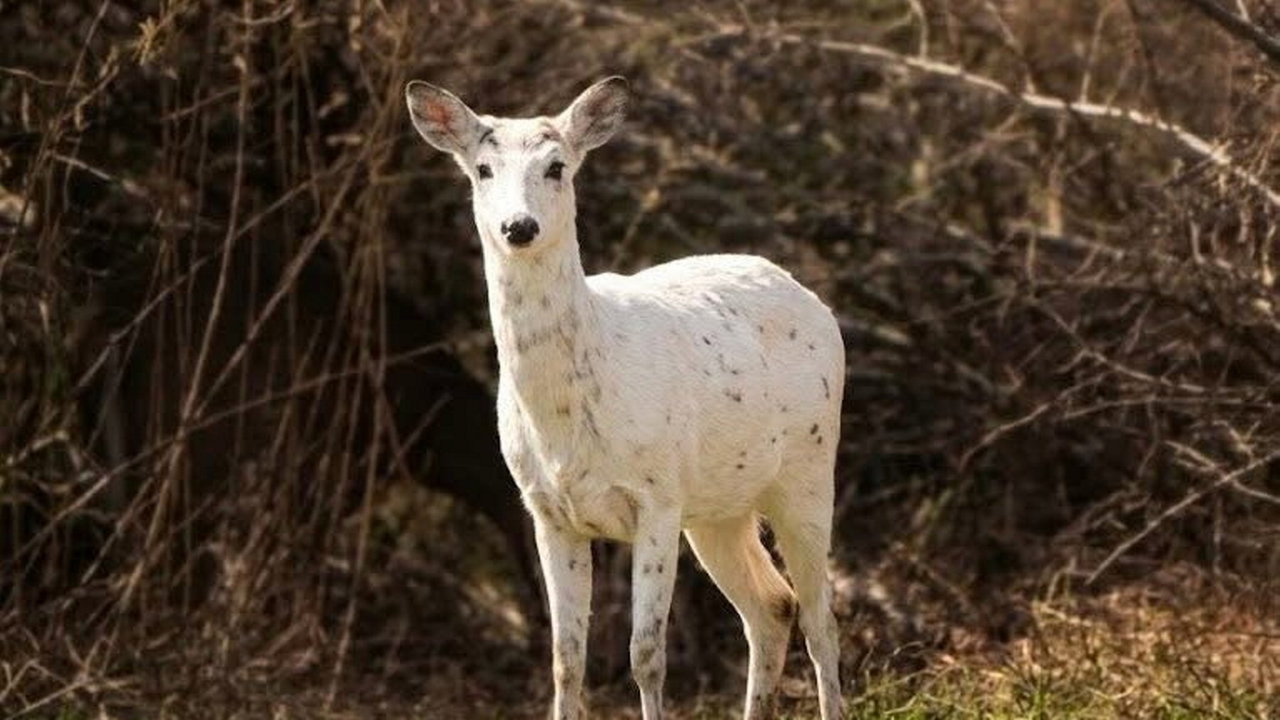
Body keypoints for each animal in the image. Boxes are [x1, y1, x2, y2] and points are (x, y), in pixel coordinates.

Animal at [405, 76, 844, 720]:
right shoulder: (547, 511)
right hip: (718, 507)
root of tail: (812, 299)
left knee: (820, 619)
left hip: (809, 471)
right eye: (482, 169)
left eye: (557, 166)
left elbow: (646, 653)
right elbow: (566, 658)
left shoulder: (656, 497)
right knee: (771, 607)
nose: (519, 227)